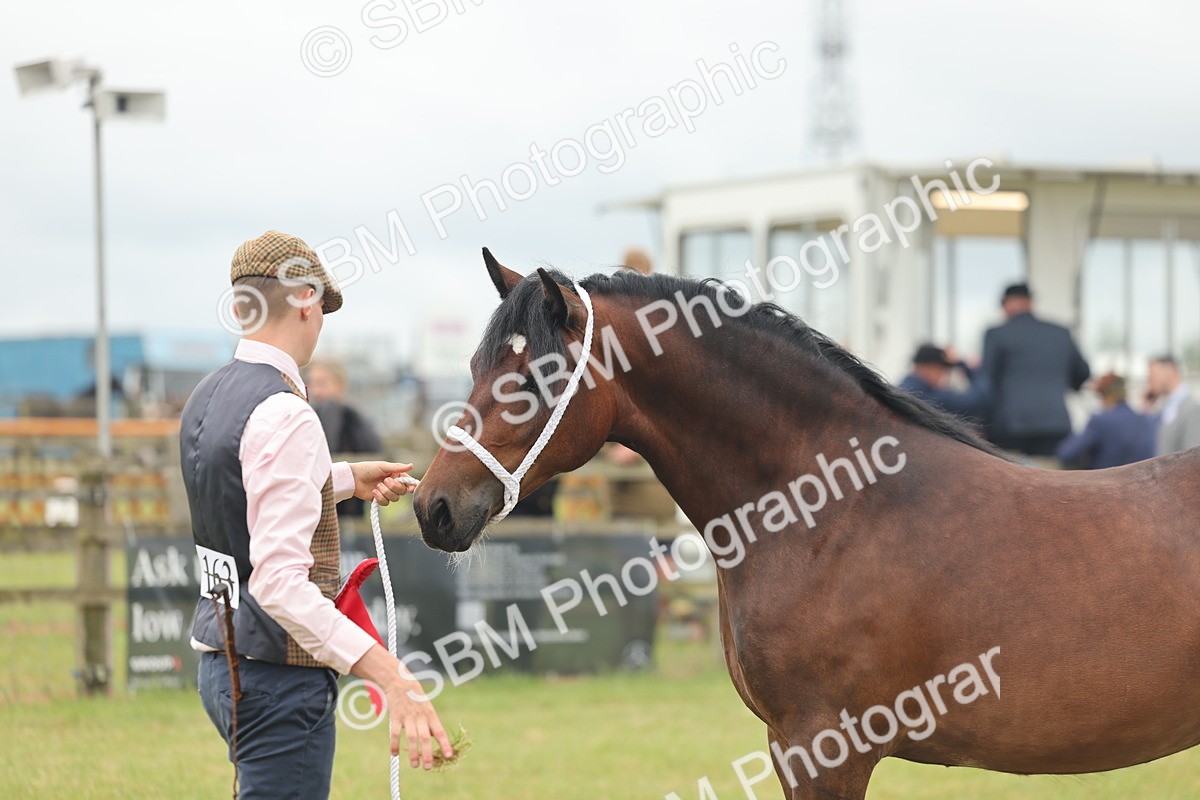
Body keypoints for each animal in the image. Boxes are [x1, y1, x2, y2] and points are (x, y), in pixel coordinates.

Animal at [413, 249, 1200, 799]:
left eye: (533, 380)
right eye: (476, 366)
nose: (433, 508)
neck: (833, 512)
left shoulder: (826, 746)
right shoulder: (787, 744)